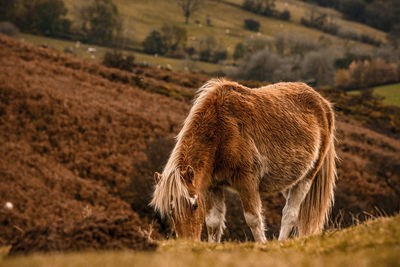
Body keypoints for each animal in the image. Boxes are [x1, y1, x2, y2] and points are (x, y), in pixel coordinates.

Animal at [150, 79, 338, 243]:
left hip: (307, 177)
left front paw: (262, 245)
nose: (188, 242)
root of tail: (323, 104)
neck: (221, 131)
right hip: (290, 180)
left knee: (289, 215)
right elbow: (213, 223)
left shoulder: (247, 183)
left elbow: (253, 219)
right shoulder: (213, 186)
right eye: (170, 211)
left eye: (195, 206)